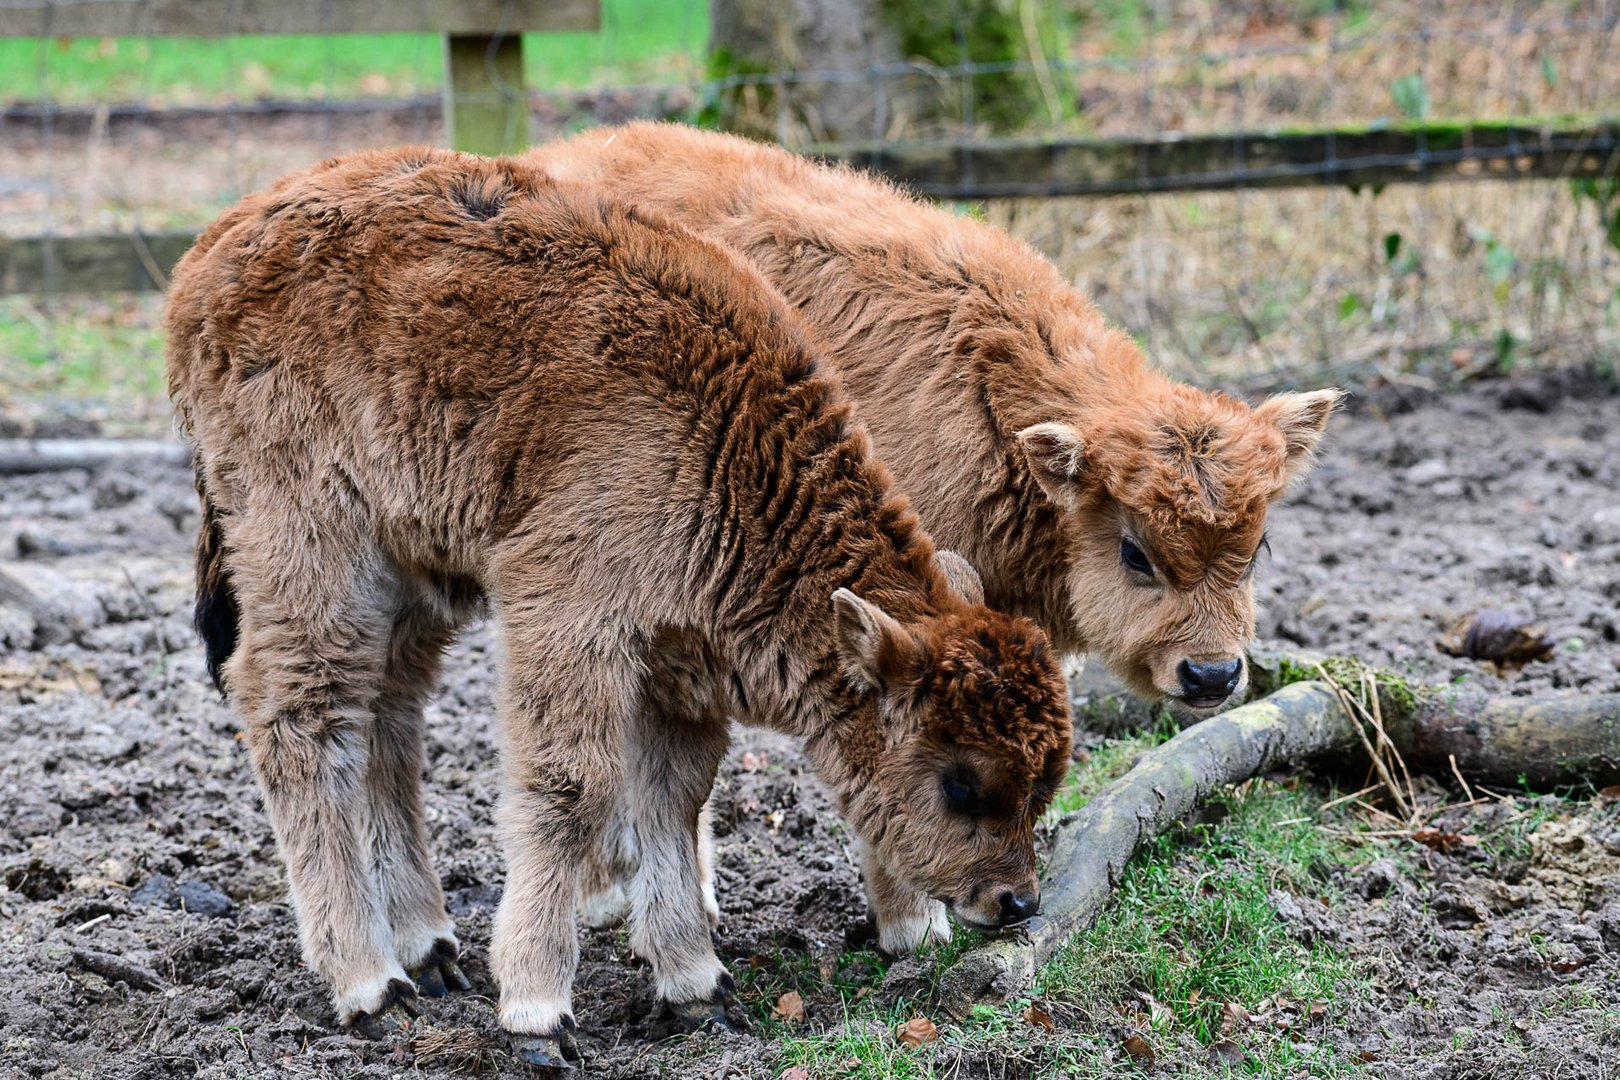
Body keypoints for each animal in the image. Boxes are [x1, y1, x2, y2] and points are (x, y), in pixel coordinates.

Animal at [167, 145, 1075, 1062]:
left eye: (1043, 782)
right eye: (961, 783)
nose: (1015, 902)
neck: (729, 448)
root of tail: (214, 251)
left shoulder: (676, 665)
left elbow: (673, 800)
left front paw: (696, 986)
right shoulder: (568, 619)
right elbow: (572, 791)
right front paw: (537, 1009)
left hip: (410, 574)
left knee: (390, 724)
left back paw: (430, 948)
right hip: (317, 551)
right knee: (302, 718)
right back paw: (371, 983)